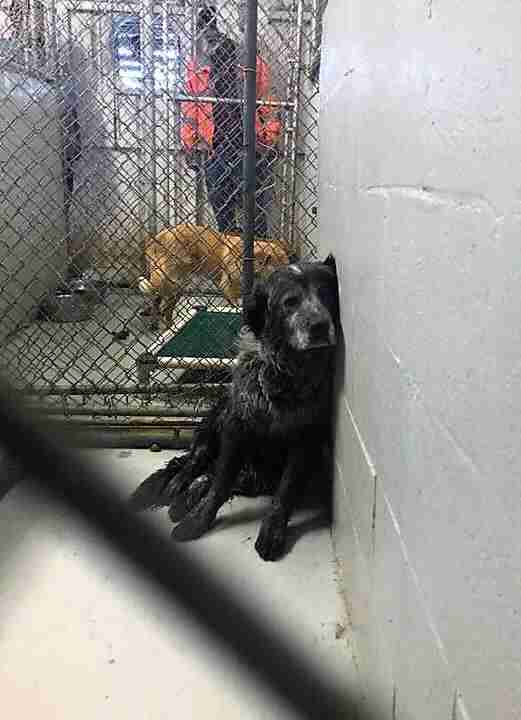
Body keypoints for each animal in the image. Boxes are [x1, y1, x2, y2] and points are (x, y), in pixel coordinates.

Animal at [129, 258, 340, 564]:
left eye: (326, 293)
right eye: (289, 302)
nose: (320, 326)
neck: (284, 376)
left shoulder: (305, 439)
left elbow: (284, 492)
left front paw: (273, 532)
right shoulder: (236, 427)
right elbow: (220, 484)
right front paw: (197, 522)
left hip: (256, 476)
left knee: (213, 476)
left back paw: (185, 500)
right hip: (215, 420)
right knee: (196, 463)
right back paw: (178, 488)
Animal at [138, 224, 290, 328]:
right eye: (280, 270)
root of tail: (158, 238)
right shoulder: (229, 286)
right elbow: (235, 303)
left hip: (177, 285)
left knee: (161, 304)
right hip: (172, 279)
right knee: (162, 304)